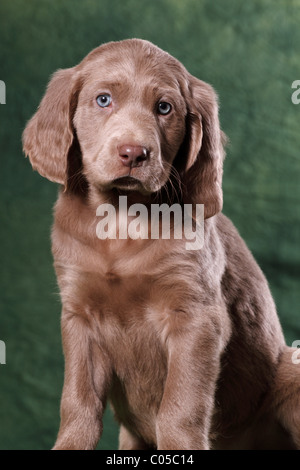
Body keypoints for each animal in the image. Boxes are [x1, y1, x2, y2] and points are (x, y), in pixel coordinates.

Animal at [21, 38, 300, 450]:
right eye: (103, 100)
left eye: (164, 108)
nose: (134, 153)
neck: (122, 219)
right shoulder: (79, 316)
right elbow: (78, 402)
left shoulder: (196, 318)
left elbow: (180, 407)